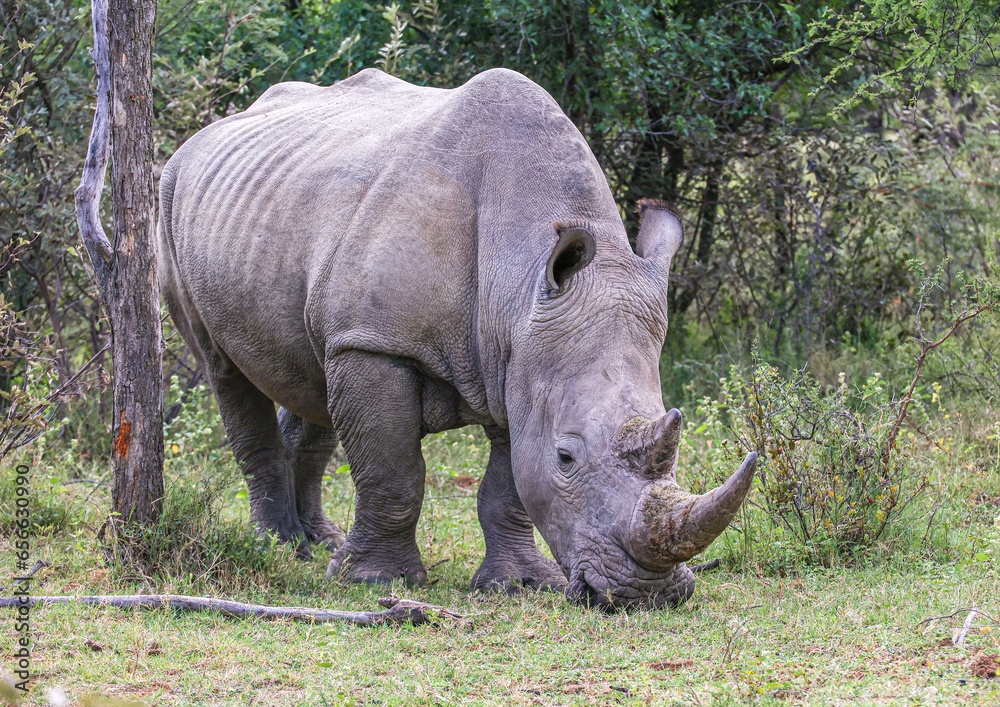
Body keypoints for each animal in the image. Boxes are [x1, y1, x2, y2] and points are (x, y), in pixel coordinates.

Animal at [158, 67, 757, 609]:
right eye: (566, 457)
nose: (646, 594)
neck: (519, 280)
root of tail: (200, 139)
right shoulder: (376, 343)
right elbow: (394, 473)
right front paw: (378, 581)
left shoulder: (518, 361)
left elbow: (507, 486)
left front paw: (519, 584)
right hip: (168, 201)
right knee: (225, 369)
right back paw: (279, 547)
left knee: (310, 376)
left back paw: (320, 543)